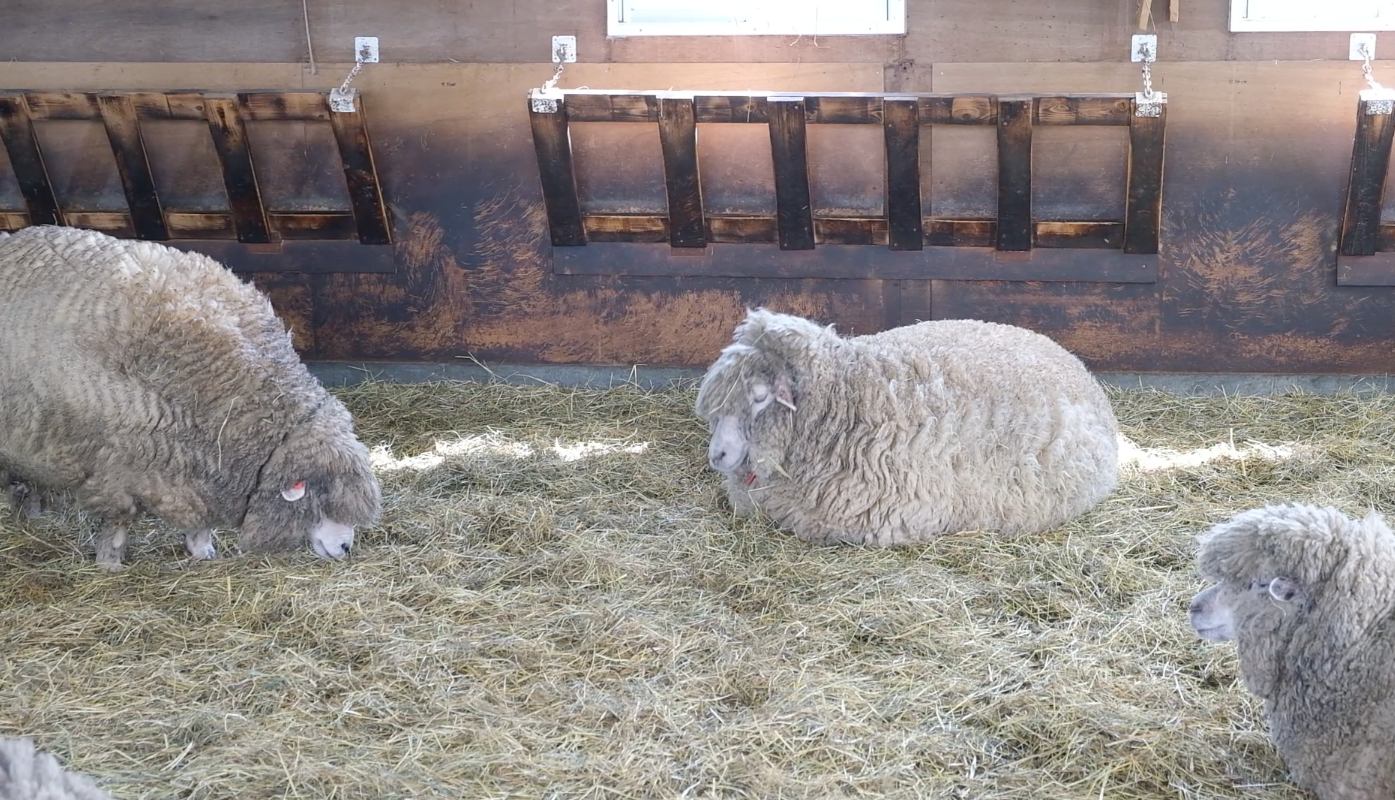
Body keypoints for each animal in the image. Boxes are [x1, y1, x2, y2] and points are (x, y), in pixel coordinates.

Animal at [0, 224, 382, 566]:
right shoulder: (116, 463)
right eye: (322, 498)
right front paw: (110, 562)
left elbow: (200, 518)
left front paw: (203, 549)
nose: (346, 547)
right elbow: (120, 519)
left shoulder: (197, 466)